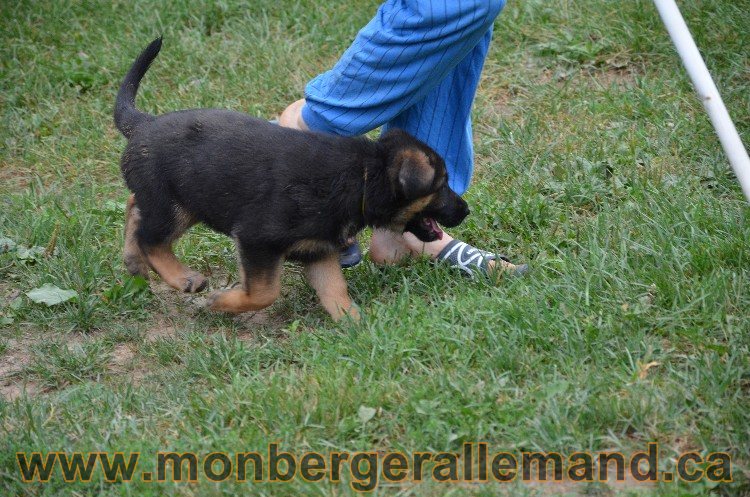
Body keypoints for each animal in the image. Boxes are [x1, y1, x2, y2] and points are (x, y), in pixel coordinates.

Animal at [114, 36, 470, 320]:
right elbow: (265, 292)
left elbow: (335, 291)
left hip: (186, 201)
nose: (466, 210)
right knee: (151, 238)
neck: (363, 179)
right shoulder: (257, 239)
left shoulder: (319, 249)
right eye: (442, 184)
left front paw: (358, 328)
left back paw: (133, 262)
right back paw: (182, 277)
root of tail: (143, 123)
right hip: (172, 204)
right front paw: (220, 303)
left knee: (135, 206)